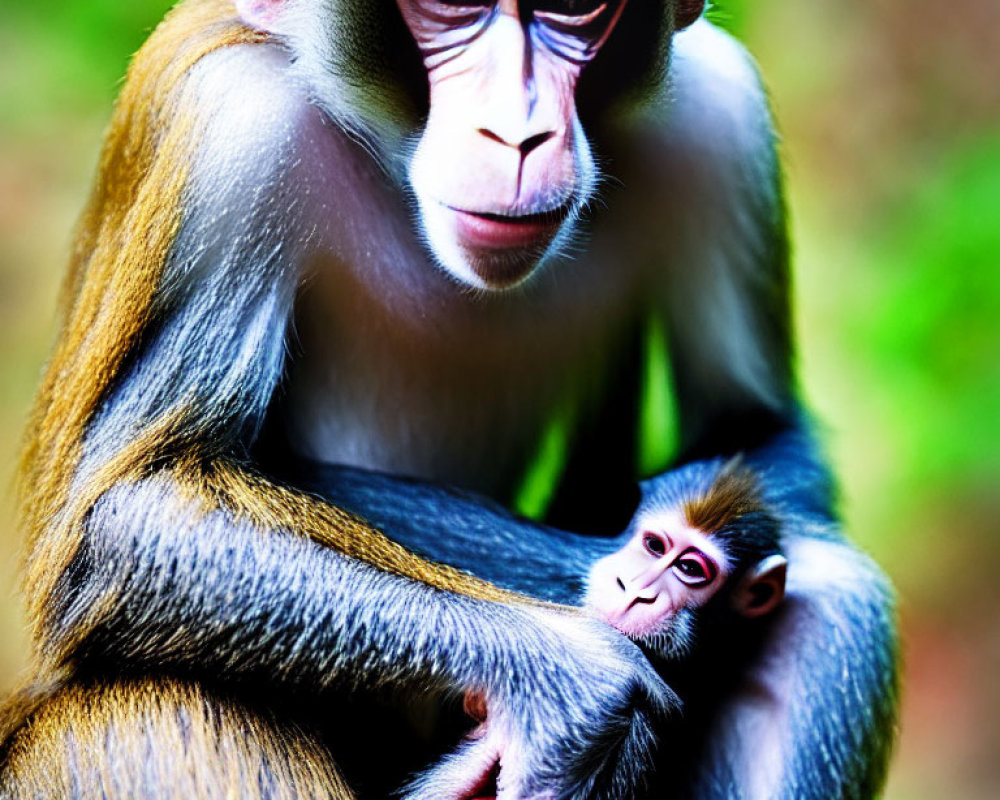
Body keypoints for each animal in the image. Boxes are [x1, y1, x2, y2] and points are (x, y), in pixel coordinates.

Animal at [0, 0, 900, 796]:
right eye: (451, 8)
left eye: (572, 7)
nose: (518, 132)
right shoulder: (234, 132)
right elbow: (120, 517)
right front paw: (567, 678)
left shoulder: (721, 111)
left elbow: (759, 426)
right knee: (152, 708)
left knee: (833, 601)